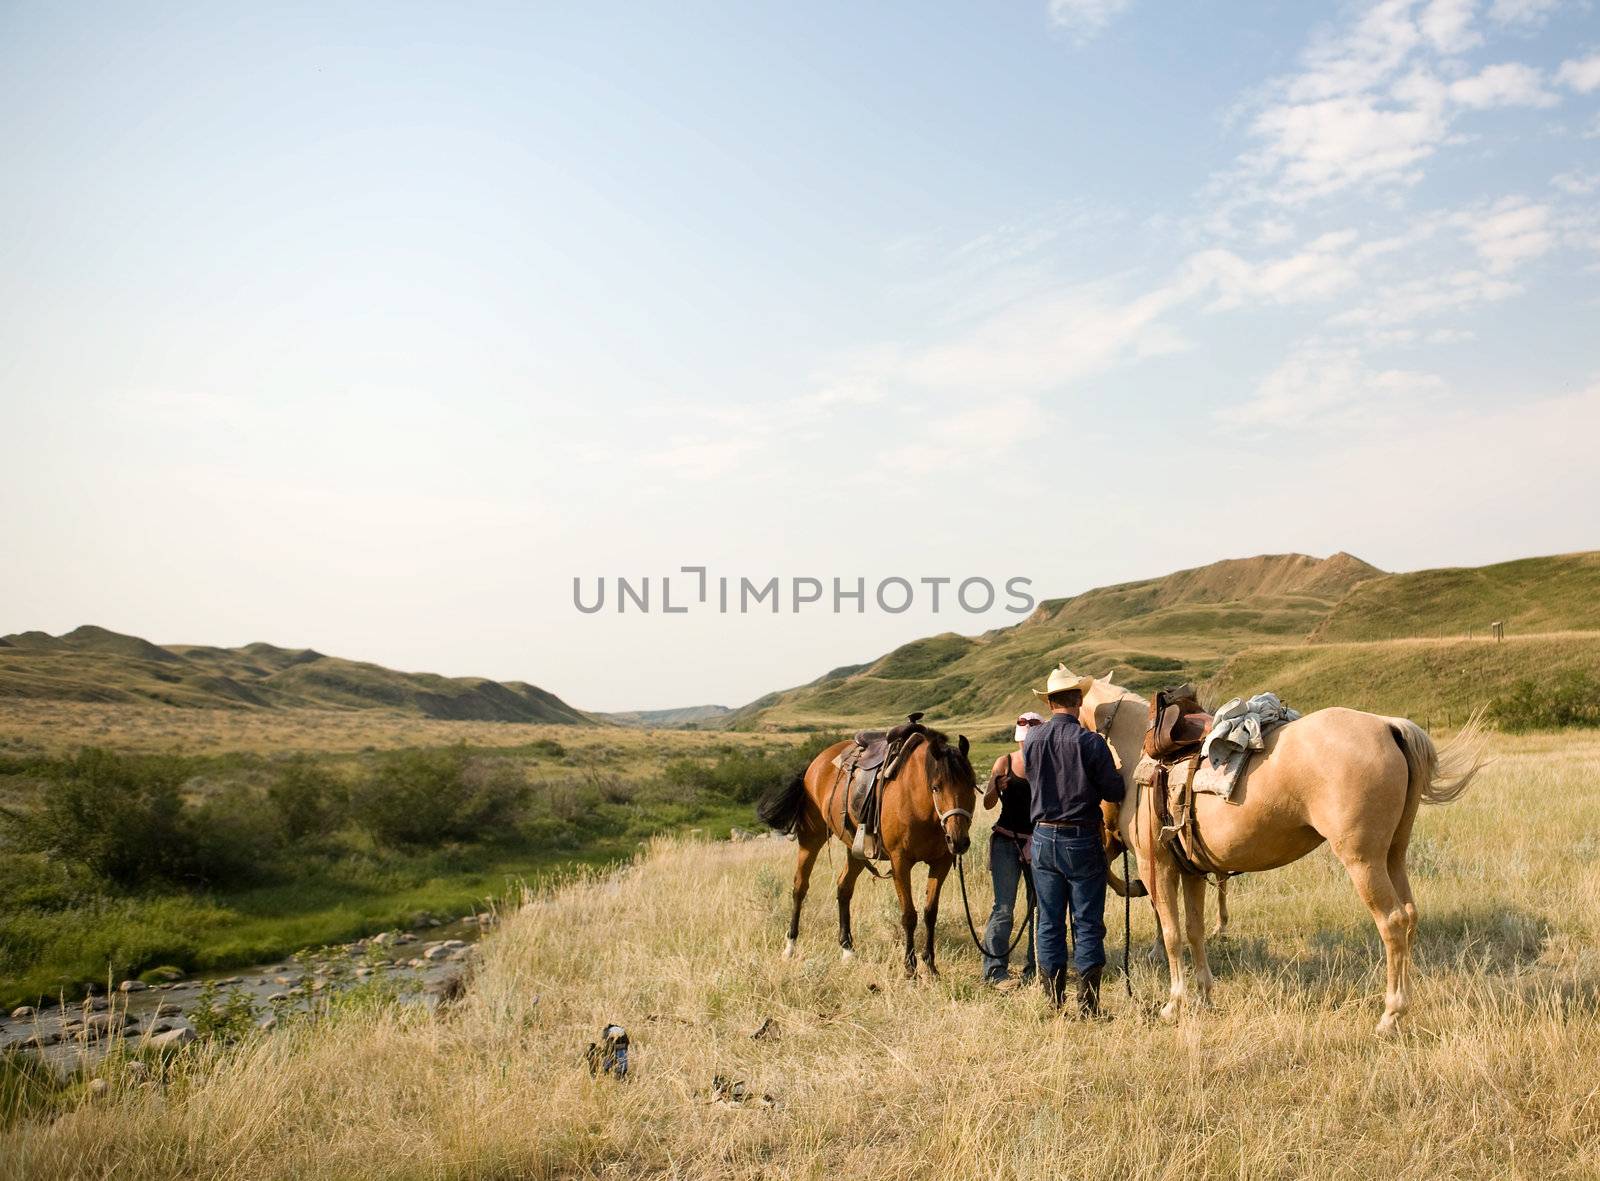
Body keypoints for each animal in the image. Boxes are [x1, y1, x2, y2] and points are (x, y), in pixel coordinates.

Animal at [758, 726, 979, 972]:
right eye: (936, 787)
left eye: (971, 786)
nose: (958, 840)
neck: (919, 803)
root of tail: (814, 764)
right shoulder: (900, 863)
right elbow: (908, 915)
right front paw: (910, 968)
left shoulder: (941, 863)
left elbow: (930, 913)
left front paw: (931, 967)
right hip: (811, 838)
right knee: (800, 887)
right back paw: (790, 946)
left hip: (855, 849)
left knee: (844, 888)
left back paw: (847, 949)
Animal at [1075, 672, 1484, 1030]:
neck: (1137, 756)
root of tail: (1388, 726)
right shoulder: (1191, 870)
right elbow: (1195, 931)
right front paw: (1205, 996)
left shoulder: (1156, 866)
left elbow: (1172, 934)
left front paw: (1175, 1004)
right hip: (1393, 854)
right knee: (1410, 915)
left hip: (1363, 861)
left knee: (1394, 922)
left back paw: (1391, 1015)